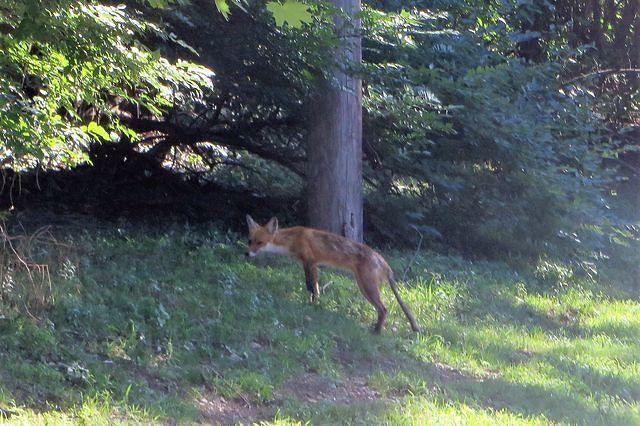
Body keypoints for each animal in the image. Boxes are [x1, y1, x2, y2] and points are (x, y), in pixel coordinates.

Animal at [245, 215, 421, 334]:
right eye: (249, 241)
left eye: (260, 243)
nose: (247, 254)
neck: (294, 239)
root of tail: (383, 262)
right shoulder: (307, 264)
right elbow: (311, 287)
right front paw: (311, 304)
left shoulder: (311, 262)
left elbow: (313, 288)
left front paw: (313, 305)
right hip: (364, 287)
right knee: (381, 309)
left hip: (368, 288)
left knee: (384, 309)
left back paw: (376, 332)